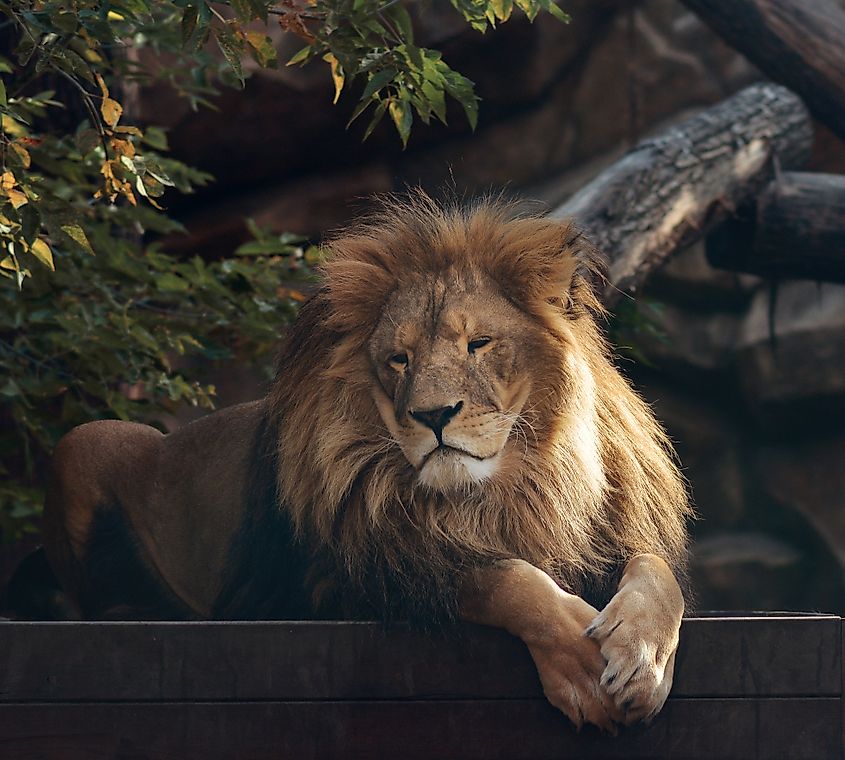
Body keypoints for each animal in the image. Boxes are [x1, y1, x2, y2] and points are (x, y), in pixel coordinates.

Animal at [38, 194, 691, 731]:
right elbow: (498, 577)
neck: (506, 490)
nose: (433, 415)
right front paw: (581, 668)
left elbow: (657, 573)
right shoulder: (338, 584)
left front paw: (642, 659)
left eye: (478, 344)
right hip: (85, 439)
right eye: (400, 359)